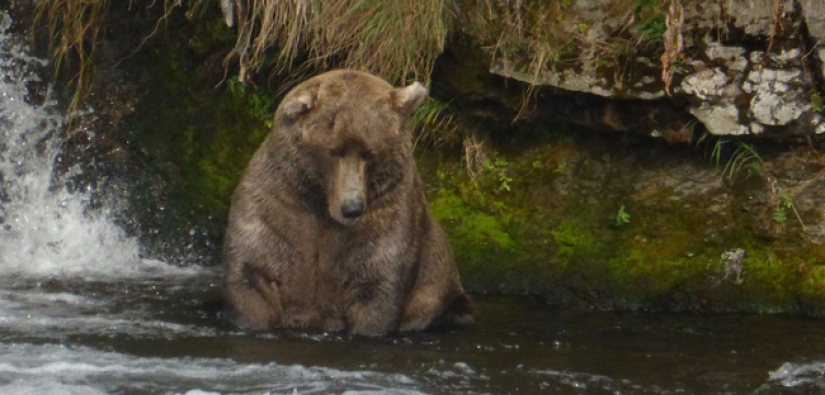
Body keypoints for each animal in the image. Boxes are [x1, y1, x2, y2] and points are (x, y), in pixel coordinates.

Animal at [222, 69, 474, 336]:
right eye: (333, 151)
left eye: (369, 153)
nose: (351, 208)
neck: (320, 203)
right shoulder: (277, 207)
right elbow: (253, 274)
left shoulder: (386, 214)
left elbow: (377, 282)